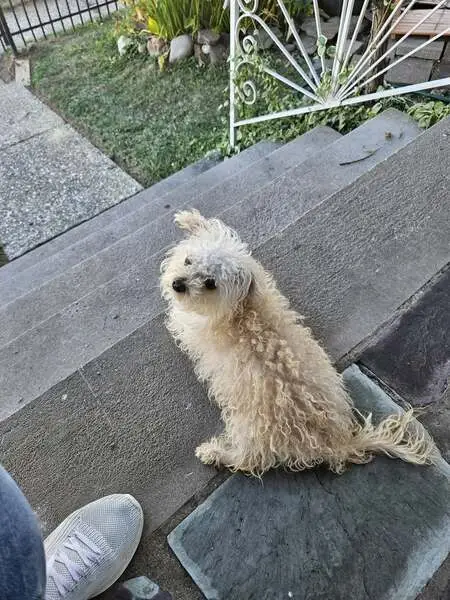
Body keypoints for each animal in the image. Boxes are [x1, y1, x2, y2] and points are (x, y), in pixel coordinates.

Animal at [160, 209, 438, 476]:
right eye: (188, 260)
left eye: (210, 283)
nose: (177, 284)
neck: (244, 310)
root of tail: (338, 443)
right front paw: (190, 220)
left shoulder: (193, 326)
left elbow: (178, 320)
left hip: (249, 427)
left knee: (247, 460)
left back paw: (214, 453)